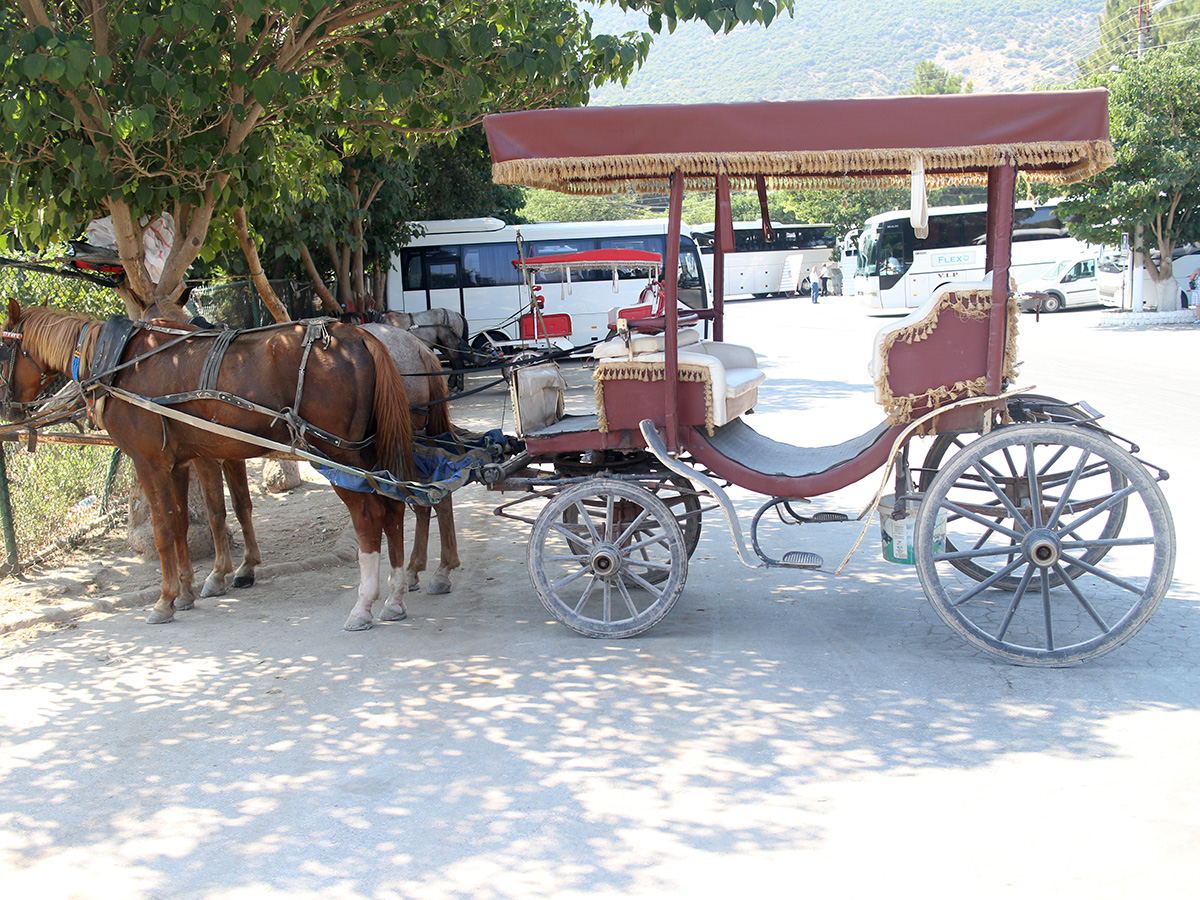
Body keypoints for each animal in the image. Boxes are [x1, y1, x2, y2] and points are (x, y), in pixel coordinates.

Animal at [0, 300, 415, 628]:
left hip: (339, 455)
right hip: (367, 453)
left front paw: (165, 600)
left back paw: (364, 604)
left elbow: (165, 530)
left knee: (370, 515)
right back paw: (395, 595)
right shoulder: (179, 462)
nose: (9, 407)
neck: (117, 363)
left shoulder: (149, 462)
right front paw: (186, 591)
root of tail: (357, 335)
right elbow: (183, 523)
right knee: (394, 506)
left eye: (4, 349)